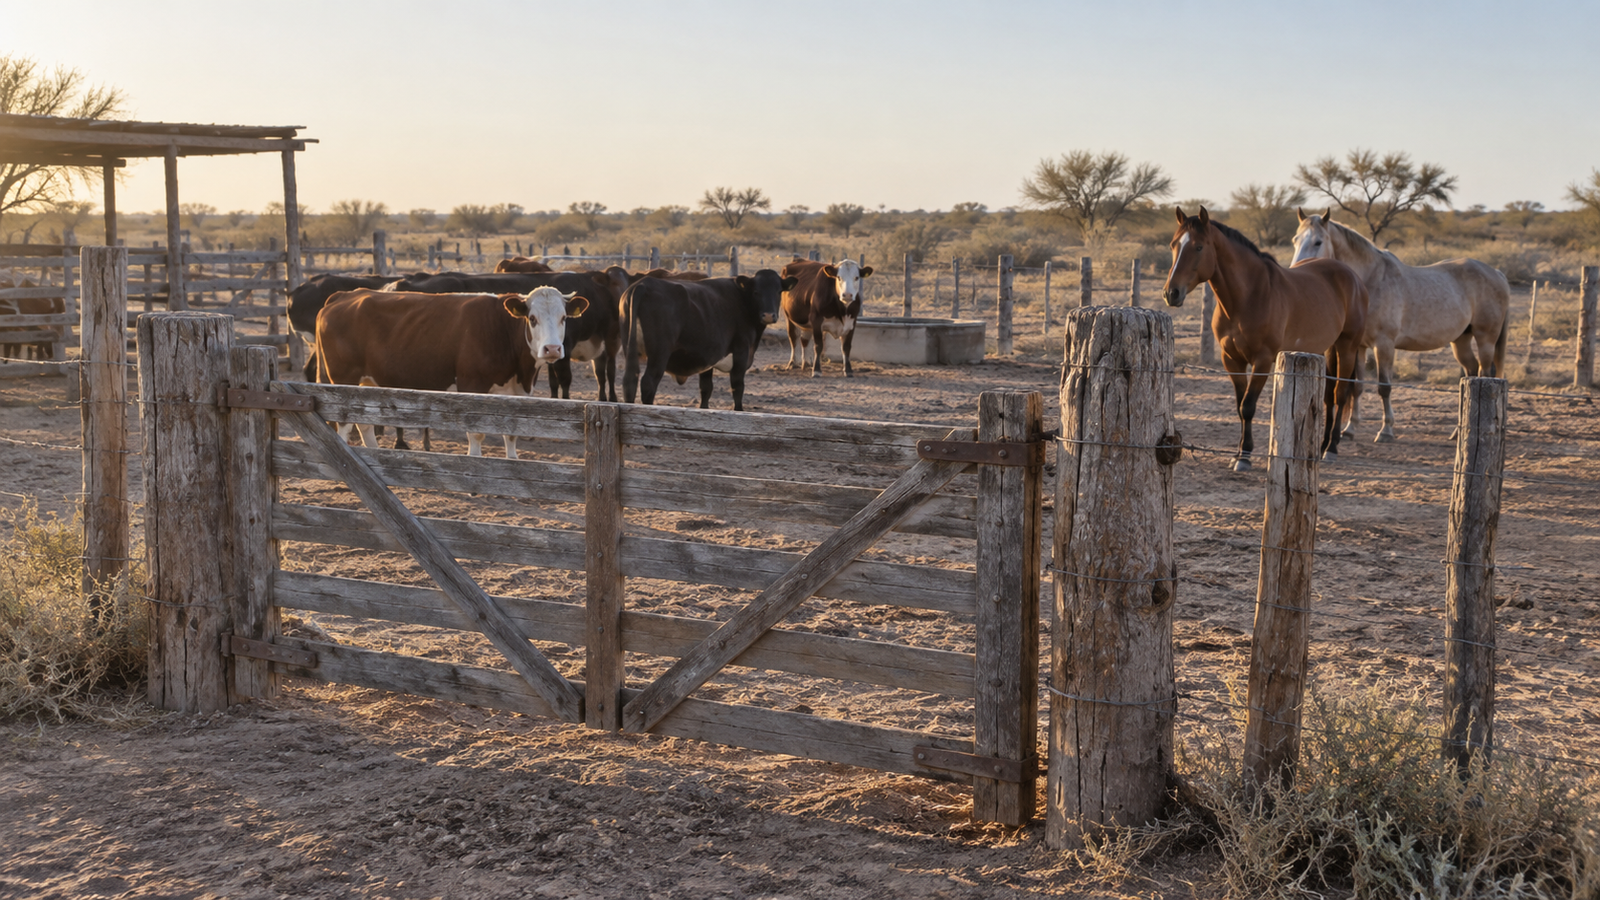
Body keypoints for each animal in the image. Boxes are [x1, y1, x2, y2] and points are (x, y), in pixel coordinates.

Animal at [314, 286, 587, 458]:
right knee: (344, 425)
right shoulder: (472, 385)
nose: (552, 349)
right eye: (532, 318)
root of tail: (344, 295)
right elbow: (476, 433)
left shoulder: (518, 392)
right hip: (343, 380)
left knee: (365, 424)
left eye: (564, 318)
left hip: (367, 383)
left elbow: (511, 434)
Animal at [620, 269, 795, 411]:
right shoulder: (741, 351)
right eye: (756, 292)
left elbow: (706, 388)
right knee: (648, 383)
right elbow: (737, 387)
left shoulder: (707, 357)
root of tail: (643, 285)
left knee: (630, 380)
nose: (768, 315)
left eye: (779, 291)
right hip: (659, 354)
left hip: (630, 350)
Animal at [1162, 207, 1368, 472]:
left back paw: (1331, 449)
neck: (1248, 296)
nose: (1171, 293)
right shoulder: (1232, 360)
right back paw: (1322, 446)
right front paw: (1238, 453)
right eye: (1173, 245)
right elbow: (1239, 407)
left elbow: (1248, 406)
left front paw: (1245, 457)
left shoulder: (1262, 360)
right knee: (1328, 395)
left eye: (1198, 247)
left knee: (1340, 393)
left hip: (1347, 347)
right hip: (1326, 349)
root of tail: (1351, 276)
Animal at [1290, 209, 1510, 442]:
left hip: (1485, 339)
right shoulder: (1360, 346)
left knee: (1484, 373)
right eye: (1295, 240)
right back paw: (1458, 431)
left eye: (1318, 242)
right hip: (1461, 341)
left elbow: (1384, 387)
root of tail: (1497, 273)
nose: (1296, 270)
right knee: (1470, 373)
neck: (1371, 281)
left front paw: (1386, 431)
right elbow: (1358, 387)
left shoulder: (1384, 345)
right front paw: (1350, 429)